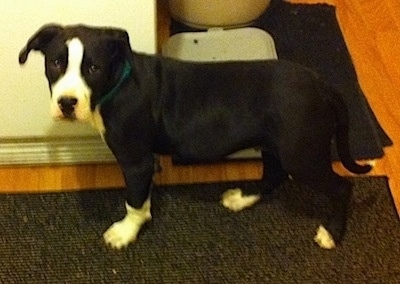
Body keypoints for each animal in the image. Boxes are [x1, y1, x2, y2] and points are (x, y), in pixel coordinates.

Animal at [18, 25, 370, 251]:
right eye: (55, 63)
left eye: (93, 68)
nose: (67, 103)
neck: (118, 82)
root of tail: (322, 85)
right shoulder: (144, 162)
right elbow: (142, 197)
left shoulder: (135, 161)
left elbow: (133, 201)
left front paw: (126, 232)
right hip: (276, 144)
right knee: (274, 174)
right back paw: (243, 198)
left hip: (303, 153)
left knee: (340, 187)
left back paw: (332, 234)